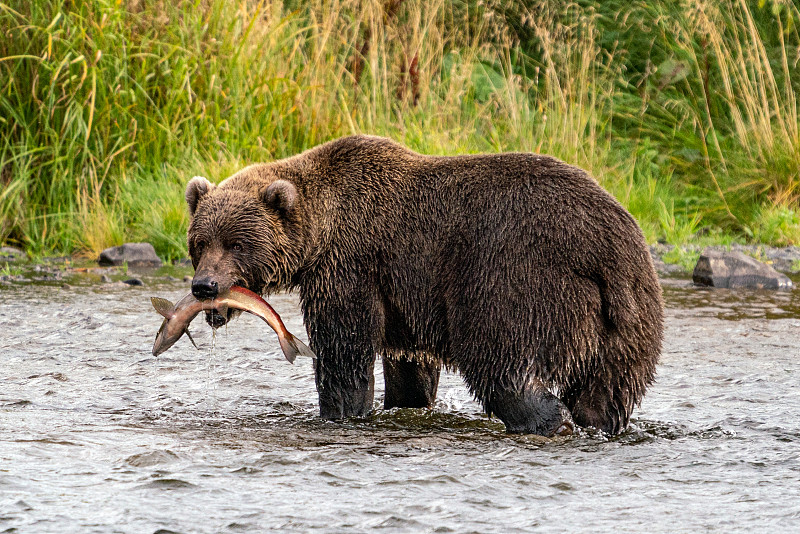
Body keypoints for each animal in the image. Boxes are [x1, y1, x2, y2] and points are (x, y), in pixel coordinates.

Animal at [186, 133, 664, 436]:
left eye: (237, 243)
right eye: (200, 241)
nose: (205, 286)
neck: (320, 230)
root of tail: (605, 248)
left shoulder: (352, 267)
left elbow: (344, 352)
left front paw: (341, 412)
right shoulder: (404, 296)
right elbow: (409, 363)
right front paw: (405, 401)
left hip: (517, 279)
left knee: (499, 361)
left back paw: (546, 418)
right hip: (630, 317)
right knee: (608, 392)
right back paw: (596, 422)